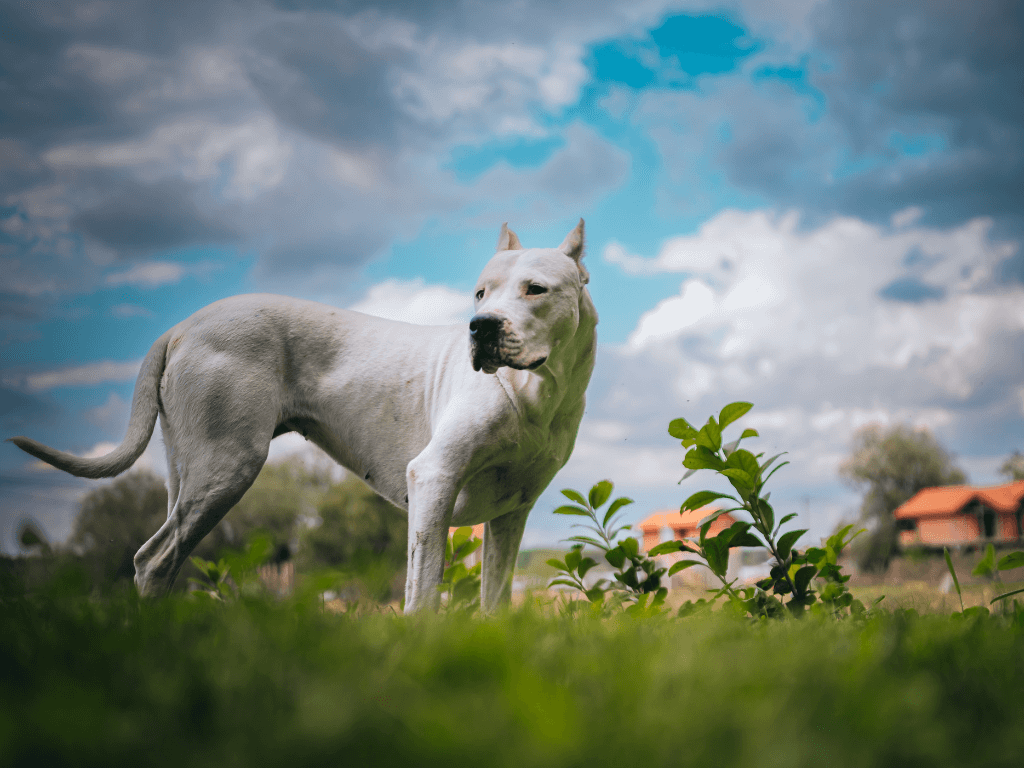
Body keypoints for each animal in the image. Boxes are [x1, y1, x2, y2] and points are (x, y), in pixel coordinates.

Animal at [8, 221, 598, 614]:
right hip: (227, 467)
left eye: (535, 289)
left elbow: (495, 601)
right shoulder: (434, 478)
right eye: (479, 293)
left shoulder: (510, 516)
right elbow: (422, 592)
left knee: (162, 559)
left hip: (190, 472)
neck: (537, 390)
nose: (481, 326)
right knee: (154, 559)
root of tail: (182, 326)